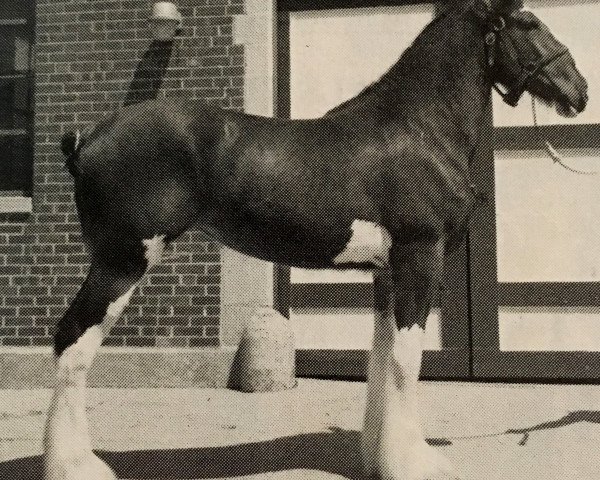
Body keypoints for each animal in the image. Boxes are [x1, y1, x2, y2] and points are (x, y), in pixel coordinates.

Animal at [44, 0, 588, 478]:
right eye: (529, 22)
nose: (579, 90)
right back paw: (77, 467)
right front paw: (417, 464)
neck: (418, 130)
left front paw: (380, 460)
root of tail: (88, 140)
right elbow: (406, 361)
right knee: (73, 342)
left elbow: (381, 359)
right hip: (121, 262)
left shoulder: (387, 273)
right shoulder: (419, 258)